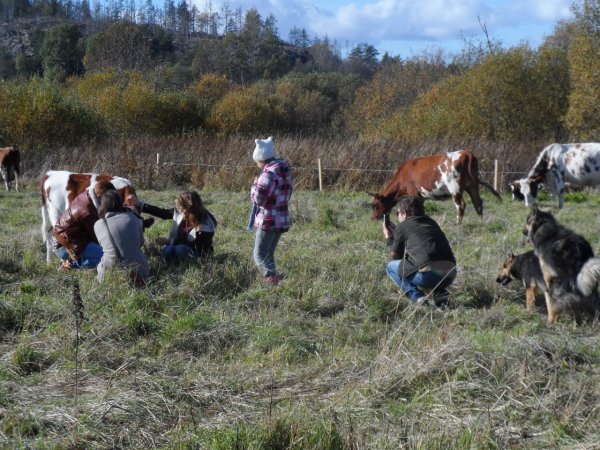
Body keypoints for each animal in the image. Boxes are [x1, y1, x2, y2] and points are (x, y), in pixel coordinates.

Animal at [370, 150, 502, 222]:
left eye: (375, 205)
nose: (373, 219)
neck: (404, 174)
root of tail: (465, 152)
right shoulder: (421, 197)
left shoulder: (413, 193)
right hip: (472, 186)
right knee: (478, 204)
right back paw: (482, 222)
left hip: (455, 188)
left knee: (461, 205)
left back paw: (458, 224)